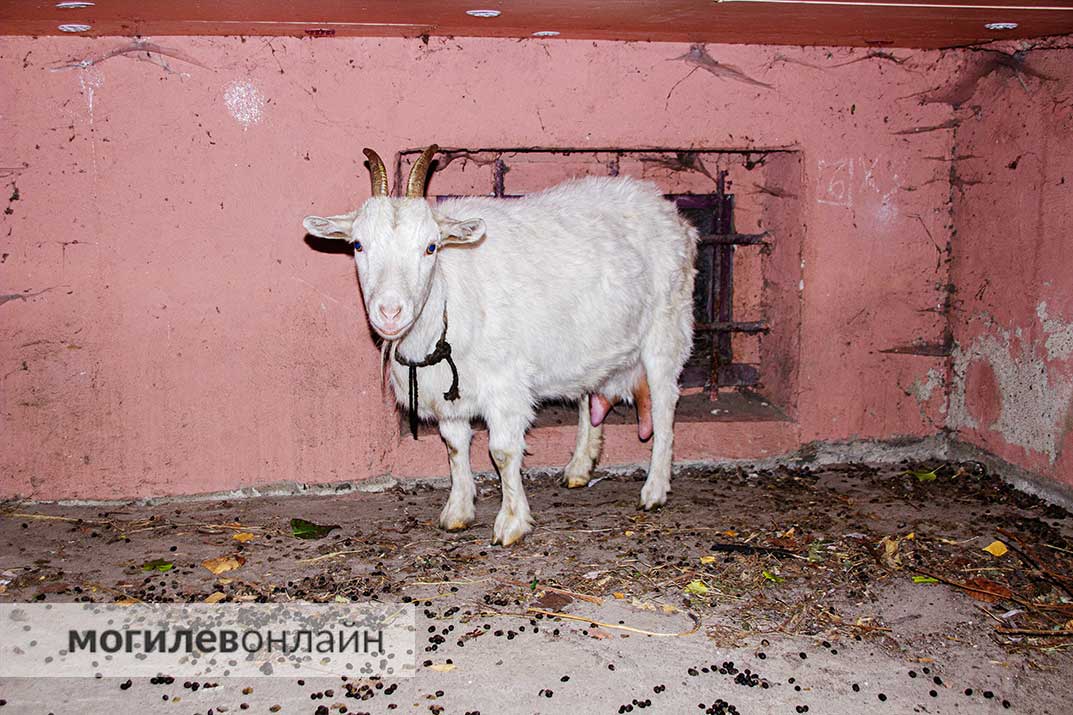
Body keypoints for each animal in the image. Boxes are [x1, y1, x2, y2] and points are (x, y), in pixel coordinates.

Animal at [303, 146, 697, 545]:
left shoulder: (505, 384)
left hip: (667, 326)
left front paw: (511, 522)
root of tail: (672, 214)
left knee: (665, 406)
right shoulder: (450, 396)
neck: (447, 298)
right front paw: (458, 511)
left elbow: (503, 452)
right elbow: (454, 445)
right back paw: (579, 467)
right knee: (591, 396)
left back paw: (654, 490)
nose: (390, 312)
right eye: (358, 245)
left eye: (430, 247)